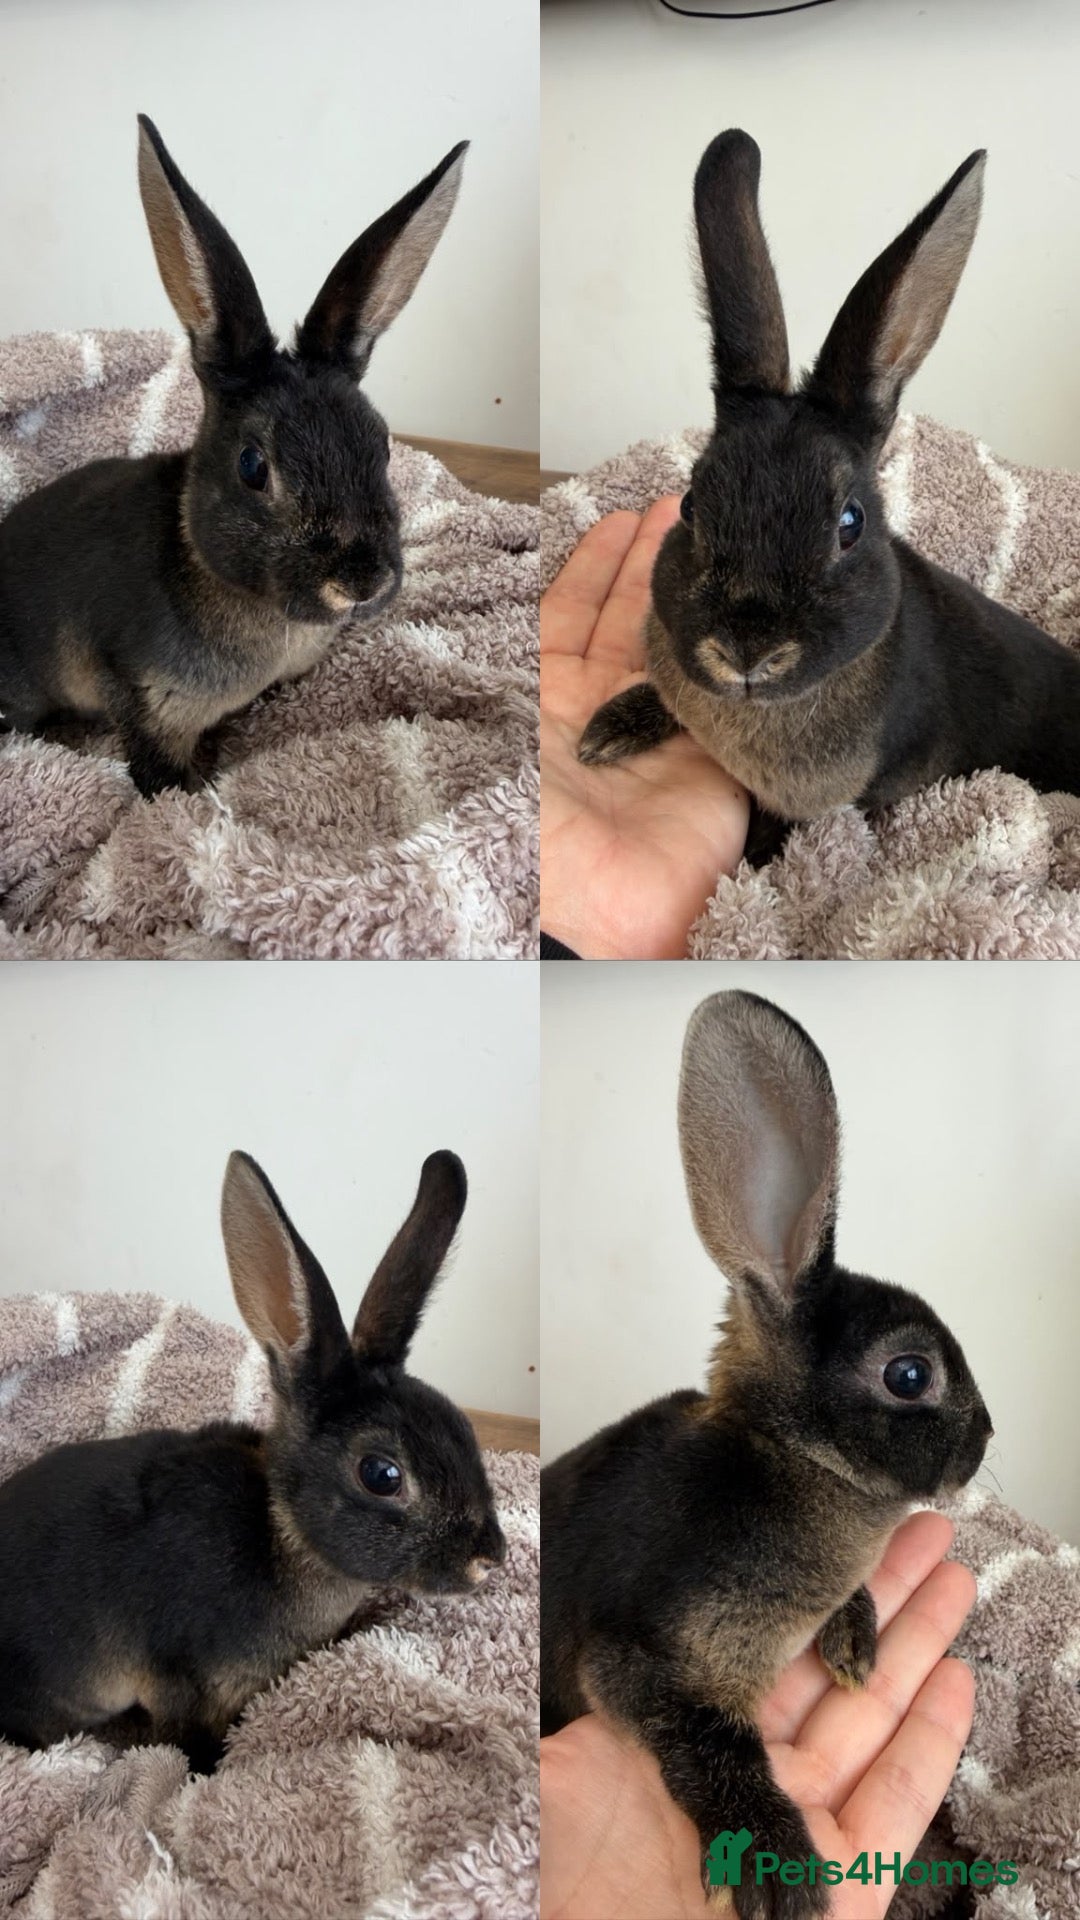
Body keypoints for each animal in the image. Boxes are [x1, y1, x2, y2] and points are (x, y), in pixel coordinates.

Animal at [0, 1148, 505, 1774]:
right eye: (381, 1474)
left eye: (461, 1424)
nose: (489, 1558)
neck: (281, 1534)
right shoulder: (185, 1686)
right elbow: (187, 1749)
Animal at [540, 991, 991, 1919]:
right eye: (909, 1374)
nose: (986, 1441)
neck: (790, 1458)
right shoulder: (642, 1660)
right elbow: (712, 1748)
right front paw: (782, 1873)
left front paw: (855, 1648)